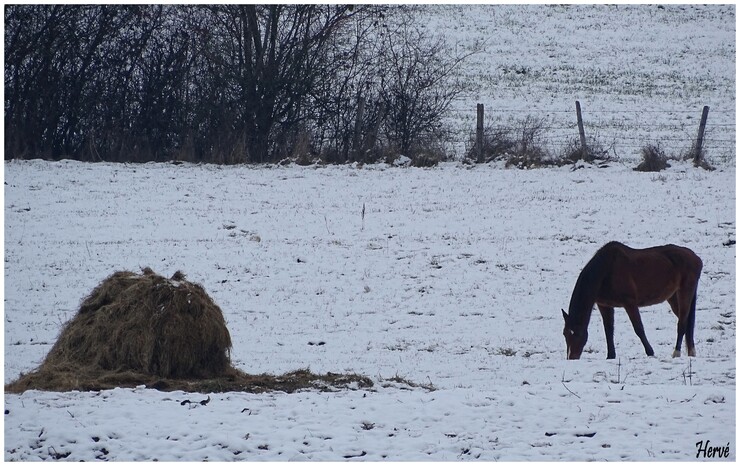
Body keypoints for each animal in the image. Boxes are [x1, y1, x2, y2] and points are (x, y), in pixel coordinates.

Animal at [564, 242, 704, 358]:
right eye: (565, 334)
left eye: (576, 333)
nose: (571, 357)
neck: (606, 271)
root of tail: (696, 258)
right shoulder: (604, 305)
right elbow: (608, 330)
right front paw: (611, 356)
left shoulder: (629, 303)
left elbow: (638, 328)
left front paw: (650, 352)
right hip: (673, 297)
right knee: (687, 321)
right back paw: (691, 352)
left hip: (685, 291)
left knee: (682, 323)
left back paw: (676, 352)